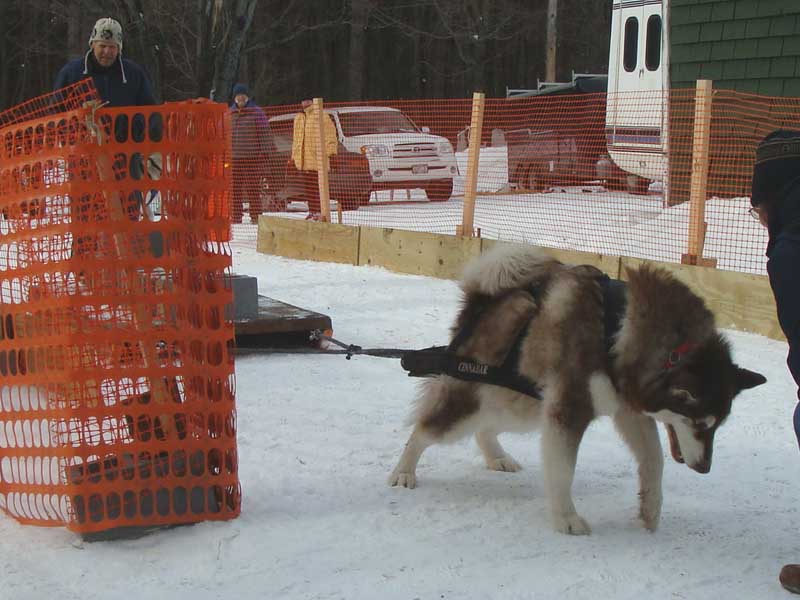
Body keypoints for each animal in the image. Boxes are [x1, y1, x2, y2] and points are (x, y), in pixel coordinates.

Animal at [390, 244, 764, 536]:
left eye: (716, 426)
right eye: (700, 424)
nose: (704, 469)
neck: (619, 330)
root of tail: (482, 300)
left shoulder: (626, 408)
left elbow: (653, 459)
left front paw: (651, 507)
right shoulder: (568, 409)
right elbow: (562, 471)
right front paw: (565, 518)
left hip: (520, 402)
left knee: (485, 425)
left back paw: (497, 456)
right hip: (481, 401)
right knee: (424, 429)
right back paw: (403, 471)